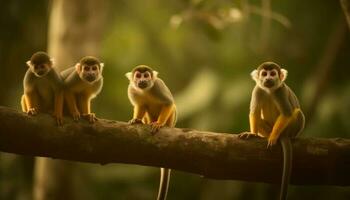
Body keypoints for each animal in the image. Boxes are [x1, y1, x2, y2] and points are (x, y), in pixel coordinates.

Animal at [126, 65, 176, 200]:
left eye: (146, 75)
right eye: (138, 76)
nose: (143, 80)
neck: (145, 90)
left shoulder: (158, 85)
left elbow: (168, 103)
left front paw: (159, 123)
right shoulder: (131, 89)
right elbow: (140, 105)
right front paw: (136, 119)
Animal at [239, 61, 304, 200]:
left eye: (273, 73)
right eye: (264, 74)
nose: (268, 78)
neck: (269, 90)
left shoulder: (281, 90)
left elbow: (287, 113)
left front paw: (274, 137)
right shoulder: (257, 89)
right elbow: (254, 112)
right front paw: (252, 133)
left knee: (297, 112)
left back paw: (283, 135)